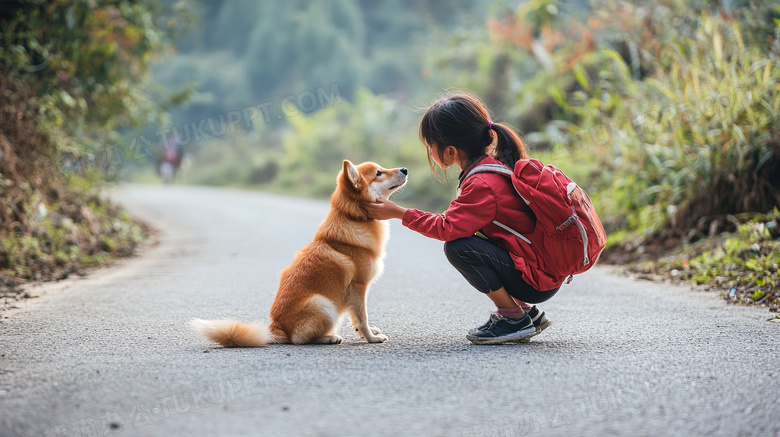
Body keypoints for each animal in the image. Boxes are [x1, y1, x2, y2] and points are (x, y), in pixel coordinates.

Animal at [192, 159, 408, 344]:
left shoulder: (356, 294)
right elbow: (362, 318)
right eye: (379, 173)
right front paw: (371, 338)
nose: (405, 169)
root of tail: (277, 328)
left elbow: (356, 319)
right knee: (299, 339)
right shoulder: (358, 287)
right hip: (324, 304)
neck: (355, 217)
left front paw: (367, 333)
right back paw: (329, 337)